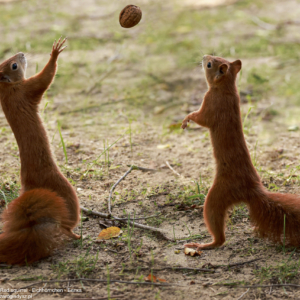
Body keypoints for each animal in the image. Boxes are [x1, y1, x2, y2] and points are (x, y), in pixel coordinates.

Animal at [0, 38, 80, 264]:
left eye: (8, 60)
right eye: (14, 65)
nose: (21, 53)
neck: (6, 89)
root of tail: (31, 186)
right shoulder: (28, 89)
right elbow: (46, 77)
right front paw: (55, 52)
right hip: (65, 191)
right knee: (66, 224)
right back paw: (74, 233)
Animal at [182, 55, 300, 250]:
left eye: (209, 64)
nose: (204, 57)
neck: (227, 89)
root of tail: (251, 189)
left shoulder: (210, 103)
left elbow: (201, 118)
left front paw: (186, 119)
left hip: (217, 196)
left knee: (218, 231)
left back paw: (204, 245)